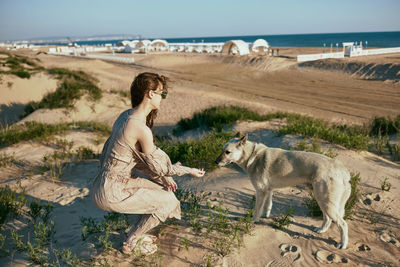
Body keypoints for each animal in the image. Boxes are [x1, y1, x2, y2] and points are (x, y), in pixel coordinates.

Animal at [216, 133, 350, 250]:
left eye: (227, 152)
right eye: (222, 150)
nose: (215, 162)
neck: (252, 156)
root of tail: (342, 170)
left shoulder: (260, 191)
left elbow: (257, 210)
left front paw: (253, 221)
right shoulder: (268, 190)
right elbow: (268, 205)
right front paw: (265, 216)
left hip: (325, 202)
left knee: (343, 224)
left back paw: (343, 244)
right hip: (323, 201)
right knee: (327, 219)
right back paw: (321, 230)